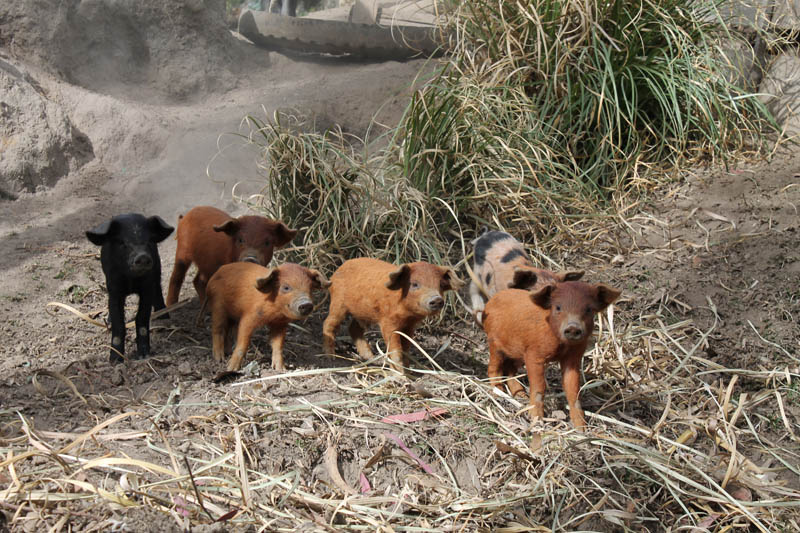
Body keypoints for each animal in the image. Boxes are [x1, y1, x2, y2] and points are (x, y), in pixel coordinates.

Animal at [86, 214, 174, 363]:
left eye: (150, 240)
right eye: (122, 242)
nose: (142, 256)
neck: (132, 281)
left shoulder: (147, 287)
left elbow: (142, 318)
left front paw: (144, 356)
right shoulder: (114, 289)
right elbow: (118, 323)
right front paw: (115, 361)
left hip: (157, 270)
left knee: (158, 290)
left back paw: (164, 317)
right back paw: (108, 322)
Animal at [166, 206, 297, 306]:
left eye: (267, 242)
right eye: (240, 239)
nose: (250, 258)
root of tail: (184, 217)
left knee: (198, 280)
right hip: (182, 251)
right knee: (176, 277)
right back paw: (171, 306)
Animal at [201, 262, 330, 372]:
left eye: (310, 288)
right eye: (286, 287)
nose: (306, 303)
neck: (274, 312)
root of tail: (214, 275)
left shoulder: (280, 324)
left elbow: (278, 345)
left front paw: (281, 370)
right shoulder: (248, 317)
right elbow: (243, 343)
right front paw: (231, 368)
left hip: (232, 315)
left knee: (228, 330)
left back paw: (227, 352)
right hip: (218, 306)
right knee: (218, 329)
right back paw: (219, 359)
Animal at [322, 258, 464, 374]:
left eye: (440, 285)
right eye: (415, 284)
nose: (437, 299)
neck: (408, 314)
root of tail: (337, 270)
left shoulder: (409, 326)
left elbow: (406, 347)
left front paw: (409, 371)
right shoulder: (388, 322)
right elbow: (395, 349)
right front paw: (401, 375)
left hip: (363, 313)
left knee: (354, 329)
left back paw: (372, 358)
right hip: (338, 303)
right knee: (329, 324)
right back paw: (331, 358)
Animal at [482, 281, 621, 428]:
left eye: (589, 309)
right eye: (558, 307)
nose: (573, 327)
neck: (562, 346)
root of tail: (489, 303)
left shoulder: (573, 358)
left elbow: (573, 389)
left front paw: (580, 427)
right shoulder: (533, 354)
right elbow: (539, 386)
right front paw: (537, 420)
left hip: (517, 353)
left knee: (510, 370)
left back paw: (521, 395)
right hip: (494, 343)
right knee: (493, 368)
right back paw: (498, 393)